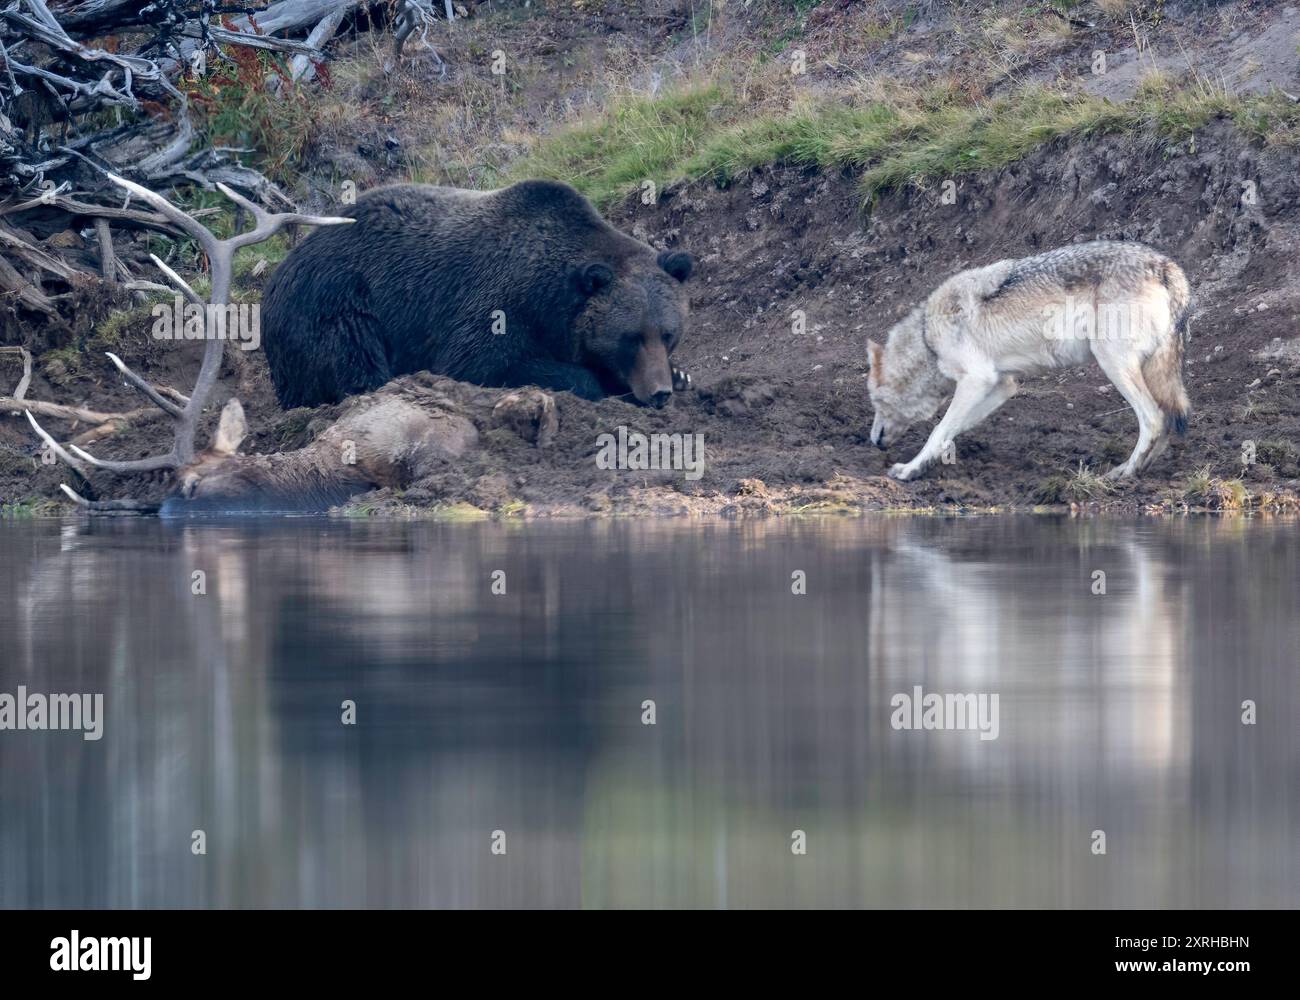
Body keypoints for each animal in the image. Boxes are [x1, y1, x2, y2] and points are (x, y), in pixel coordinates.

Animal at [260, 179, 695, 410]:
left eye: (668, 333)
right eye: (630, 337)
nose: (659, 393)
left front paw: (682, 374)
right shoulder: (498, 303)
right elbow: (480, 362)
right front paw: (596, 383)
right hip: (337, 303)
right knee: (354, 361)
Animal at [866, 241, 1191, 481]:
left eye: (875, 403)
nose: (873, 441)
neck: (927, 337)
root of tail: (1165, 265)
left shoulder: (976, 380)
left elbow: (938, 429)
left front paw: (909, 469)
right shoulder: (1002, 385)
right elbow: (953, 428)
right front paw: (927, 464)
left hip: (1112, 363)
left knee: (1153, 419)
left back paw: (1126, 473)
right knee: (1167, 421)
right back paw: (1139, 470)